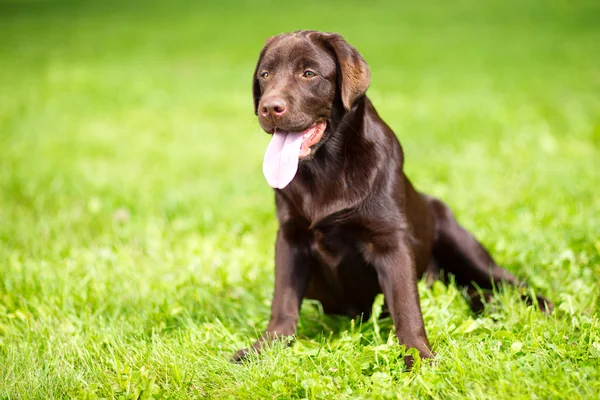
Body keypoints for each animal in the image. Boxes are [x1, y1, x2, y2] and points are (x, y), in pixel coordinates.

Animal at [232, 29, 552, 368]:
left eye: (309, 73)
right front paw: (263, 348)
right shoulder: (290, 238)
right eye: (265, 75)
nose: (269, 108)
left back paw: (535, 304)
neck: (325, 168)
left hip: (459, 240)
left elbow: (406, 305)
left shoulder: (391, 240)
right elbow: (283, 302)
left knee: (500, 278)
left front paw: (419, 356)